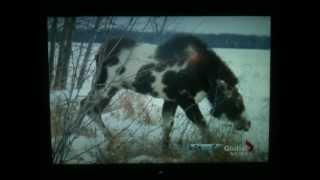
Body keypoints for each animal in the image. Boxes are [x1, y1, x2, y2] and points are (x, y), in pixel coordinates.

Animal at [80, 34, 250, 152]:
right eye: (236, 103)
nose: (247, 124)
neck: (205, 78)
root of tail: (98, 53)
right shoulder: (184, 99)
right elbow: (203, 125)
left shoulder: (171, 99)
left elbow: (167, 126)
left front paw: (165, 150)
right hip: (103, 85)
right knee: (87, 106)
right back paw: (105, 138)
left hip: (113, 87)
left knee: (91, 107)